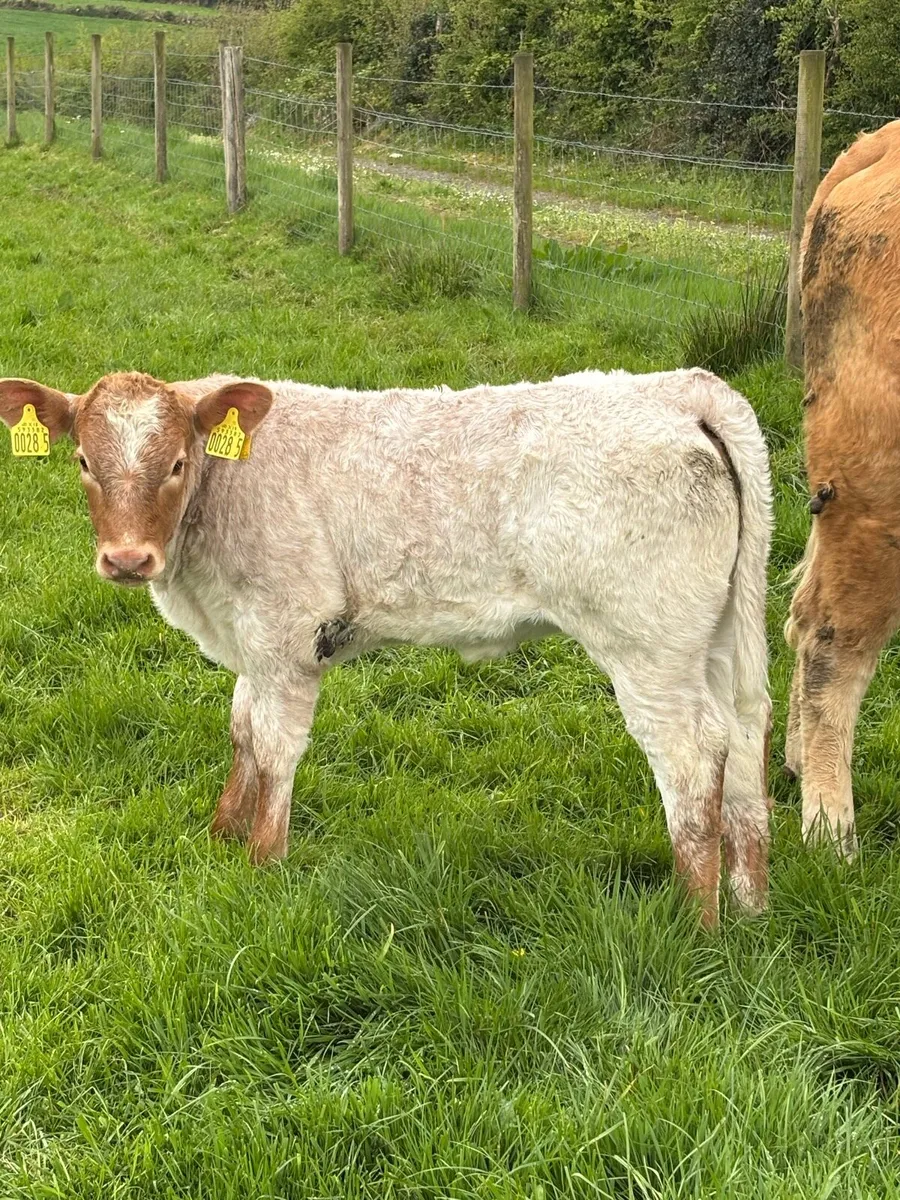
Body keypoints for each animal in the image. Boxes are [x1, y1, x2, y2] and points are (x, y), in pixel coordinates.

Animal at [0, 366, 772, 925]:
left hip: (647, 646)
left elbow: (275, 747)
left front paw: (262, 862)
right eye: (83, 460)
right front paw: (221, 836)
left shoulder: (286, 632)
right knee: (743, 740)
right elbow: (242, 731)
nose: (128, 560)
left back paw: (696, 923)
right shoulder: (254, 641)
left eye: (177, 463)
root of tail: (680, 390)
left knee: (692, 757)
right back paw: (749, 906)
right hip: (717, 641)